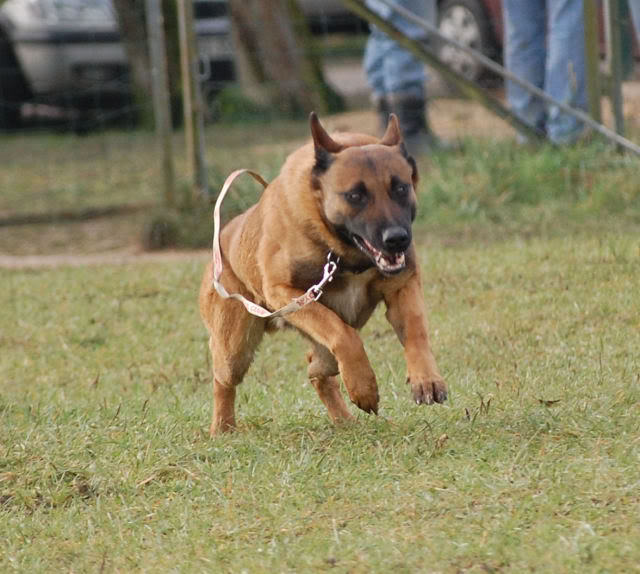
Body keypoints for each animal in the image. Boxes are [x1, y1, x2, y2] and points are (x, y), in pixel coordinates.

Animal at [199, 112, 444, 436]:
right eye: (355, 195)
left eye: (400, 188)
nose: (397, 239)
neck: (342, 253)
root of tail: (223, 236)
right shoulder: (287, 293)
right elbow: (344, 335)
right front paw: (364, 387)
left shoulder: (402, 286)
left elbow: (416, 330)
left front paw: (426, 379)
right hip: (235, 349)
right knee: (223, 379)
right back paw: (222, 427)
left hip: (314, 347)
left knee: (316, 369)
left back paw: (344, 419)